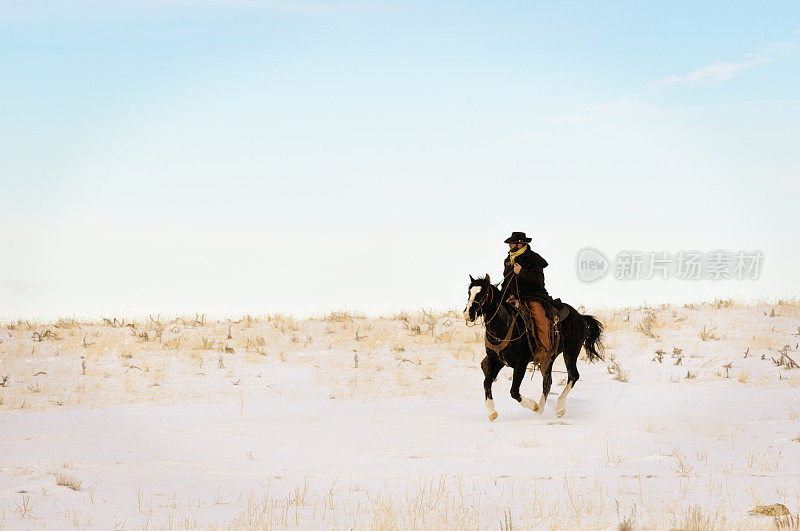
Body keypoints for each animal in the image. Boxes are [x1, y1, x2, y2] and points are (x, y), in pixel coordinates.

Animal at [462, 276, 600, 422]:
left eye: (484, 293)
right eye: (469, 292)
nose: (467, 314)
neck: (504, 326)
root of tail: (580, 317)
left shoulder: (520, 363)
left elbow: (514, 391)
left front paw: (533, 405)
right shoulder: (496, 361)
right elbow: (486, 383)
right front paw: (492, 412)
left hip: (571, 352)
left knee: (573, 375)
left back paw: (556, 408)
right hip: (549, 359)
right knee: (548, 382)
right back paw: (542, 410)